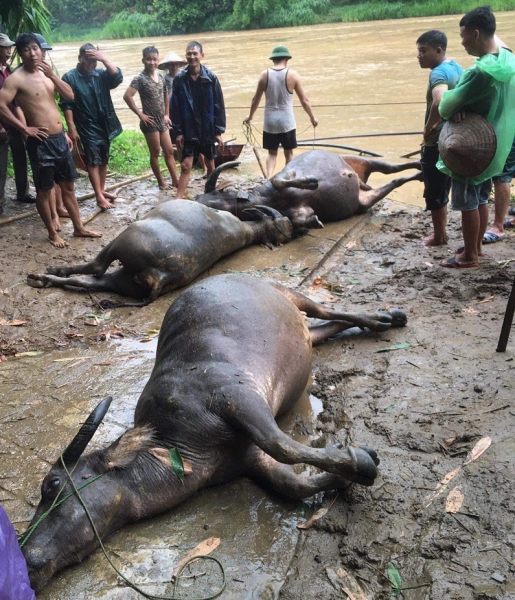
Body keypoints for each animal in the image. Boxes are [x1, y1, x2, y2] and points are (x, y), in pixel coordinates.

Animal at [22, 274, 410, 592]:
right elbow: (290, 482)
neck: (178, 448)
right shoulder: (247, 457)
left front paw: (361, 460)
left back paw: (385, 318)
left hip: (290, 293)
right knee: (319, 329)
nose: (23, 553)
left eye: (52, 485)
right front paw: (341, 477)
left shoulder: (236, 398)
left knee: (327, 308)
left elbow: (282, 445)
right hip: (303, 336)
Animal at [27, 200, 294, 308]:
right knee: (89, 280)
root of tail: (161, 276)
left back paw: (43, 275)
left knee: (95, 267)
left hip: (122, 241)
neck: (245, 231)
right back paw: (43, 280)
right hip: (123, 282)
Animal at [198, 149, 424, 230]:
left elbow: (280, 180)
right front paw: (315, 221)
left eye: (212, 196)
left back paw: (419, 165)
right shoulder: (299, 211)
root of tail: (359, 180)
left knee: (390, 167)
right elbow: (300, 219)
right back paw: (420, 173)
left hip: (359, 159)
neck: (268, 199)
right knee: (395, 180)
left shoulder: (286, 173)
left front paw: (311, 182)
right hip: (365, 199)